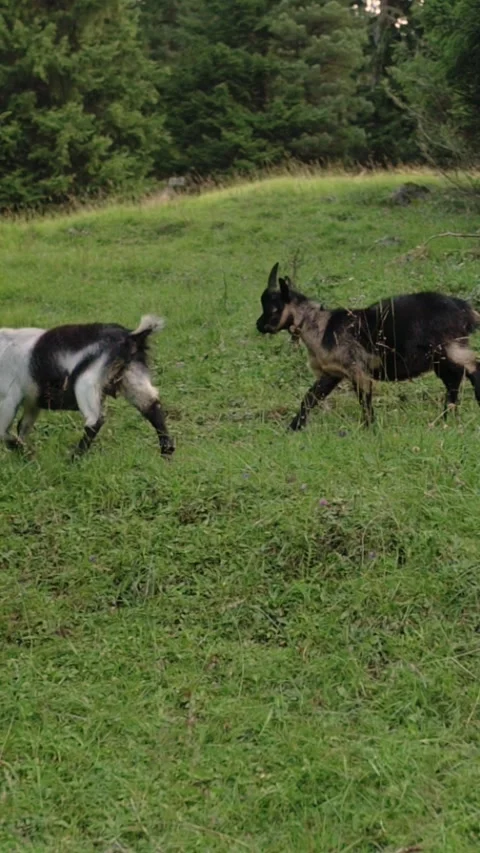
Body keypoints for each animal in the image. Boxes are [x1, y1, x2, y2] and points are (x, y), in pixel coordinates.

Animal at [0, 315, 175, 456]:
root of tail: (130, 337)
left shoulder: (8, 398)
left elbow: (3, 430)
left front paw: (23, 450)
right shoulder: (32, 401)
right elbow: (23, 426)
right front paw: (25, 453)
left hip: (87, 382)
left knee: (95, 420)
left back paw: (73, 458)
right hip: (132, 377)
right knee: (152, 406)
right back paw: (167, 451)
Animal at [257, 262, 480, 430]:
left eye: (274, 308)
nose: (259, 325)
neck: (323, 327)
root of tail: (465, 309)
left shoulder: (357, 369)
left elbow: (364, 401)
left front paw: (370, 428)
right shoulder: (332, 373)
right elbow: (310, 398)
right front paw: (292, 428)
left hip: (450, 347)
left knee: (472, 366)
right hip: (442, 356)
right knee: (454, 381)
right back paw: (446, 419)